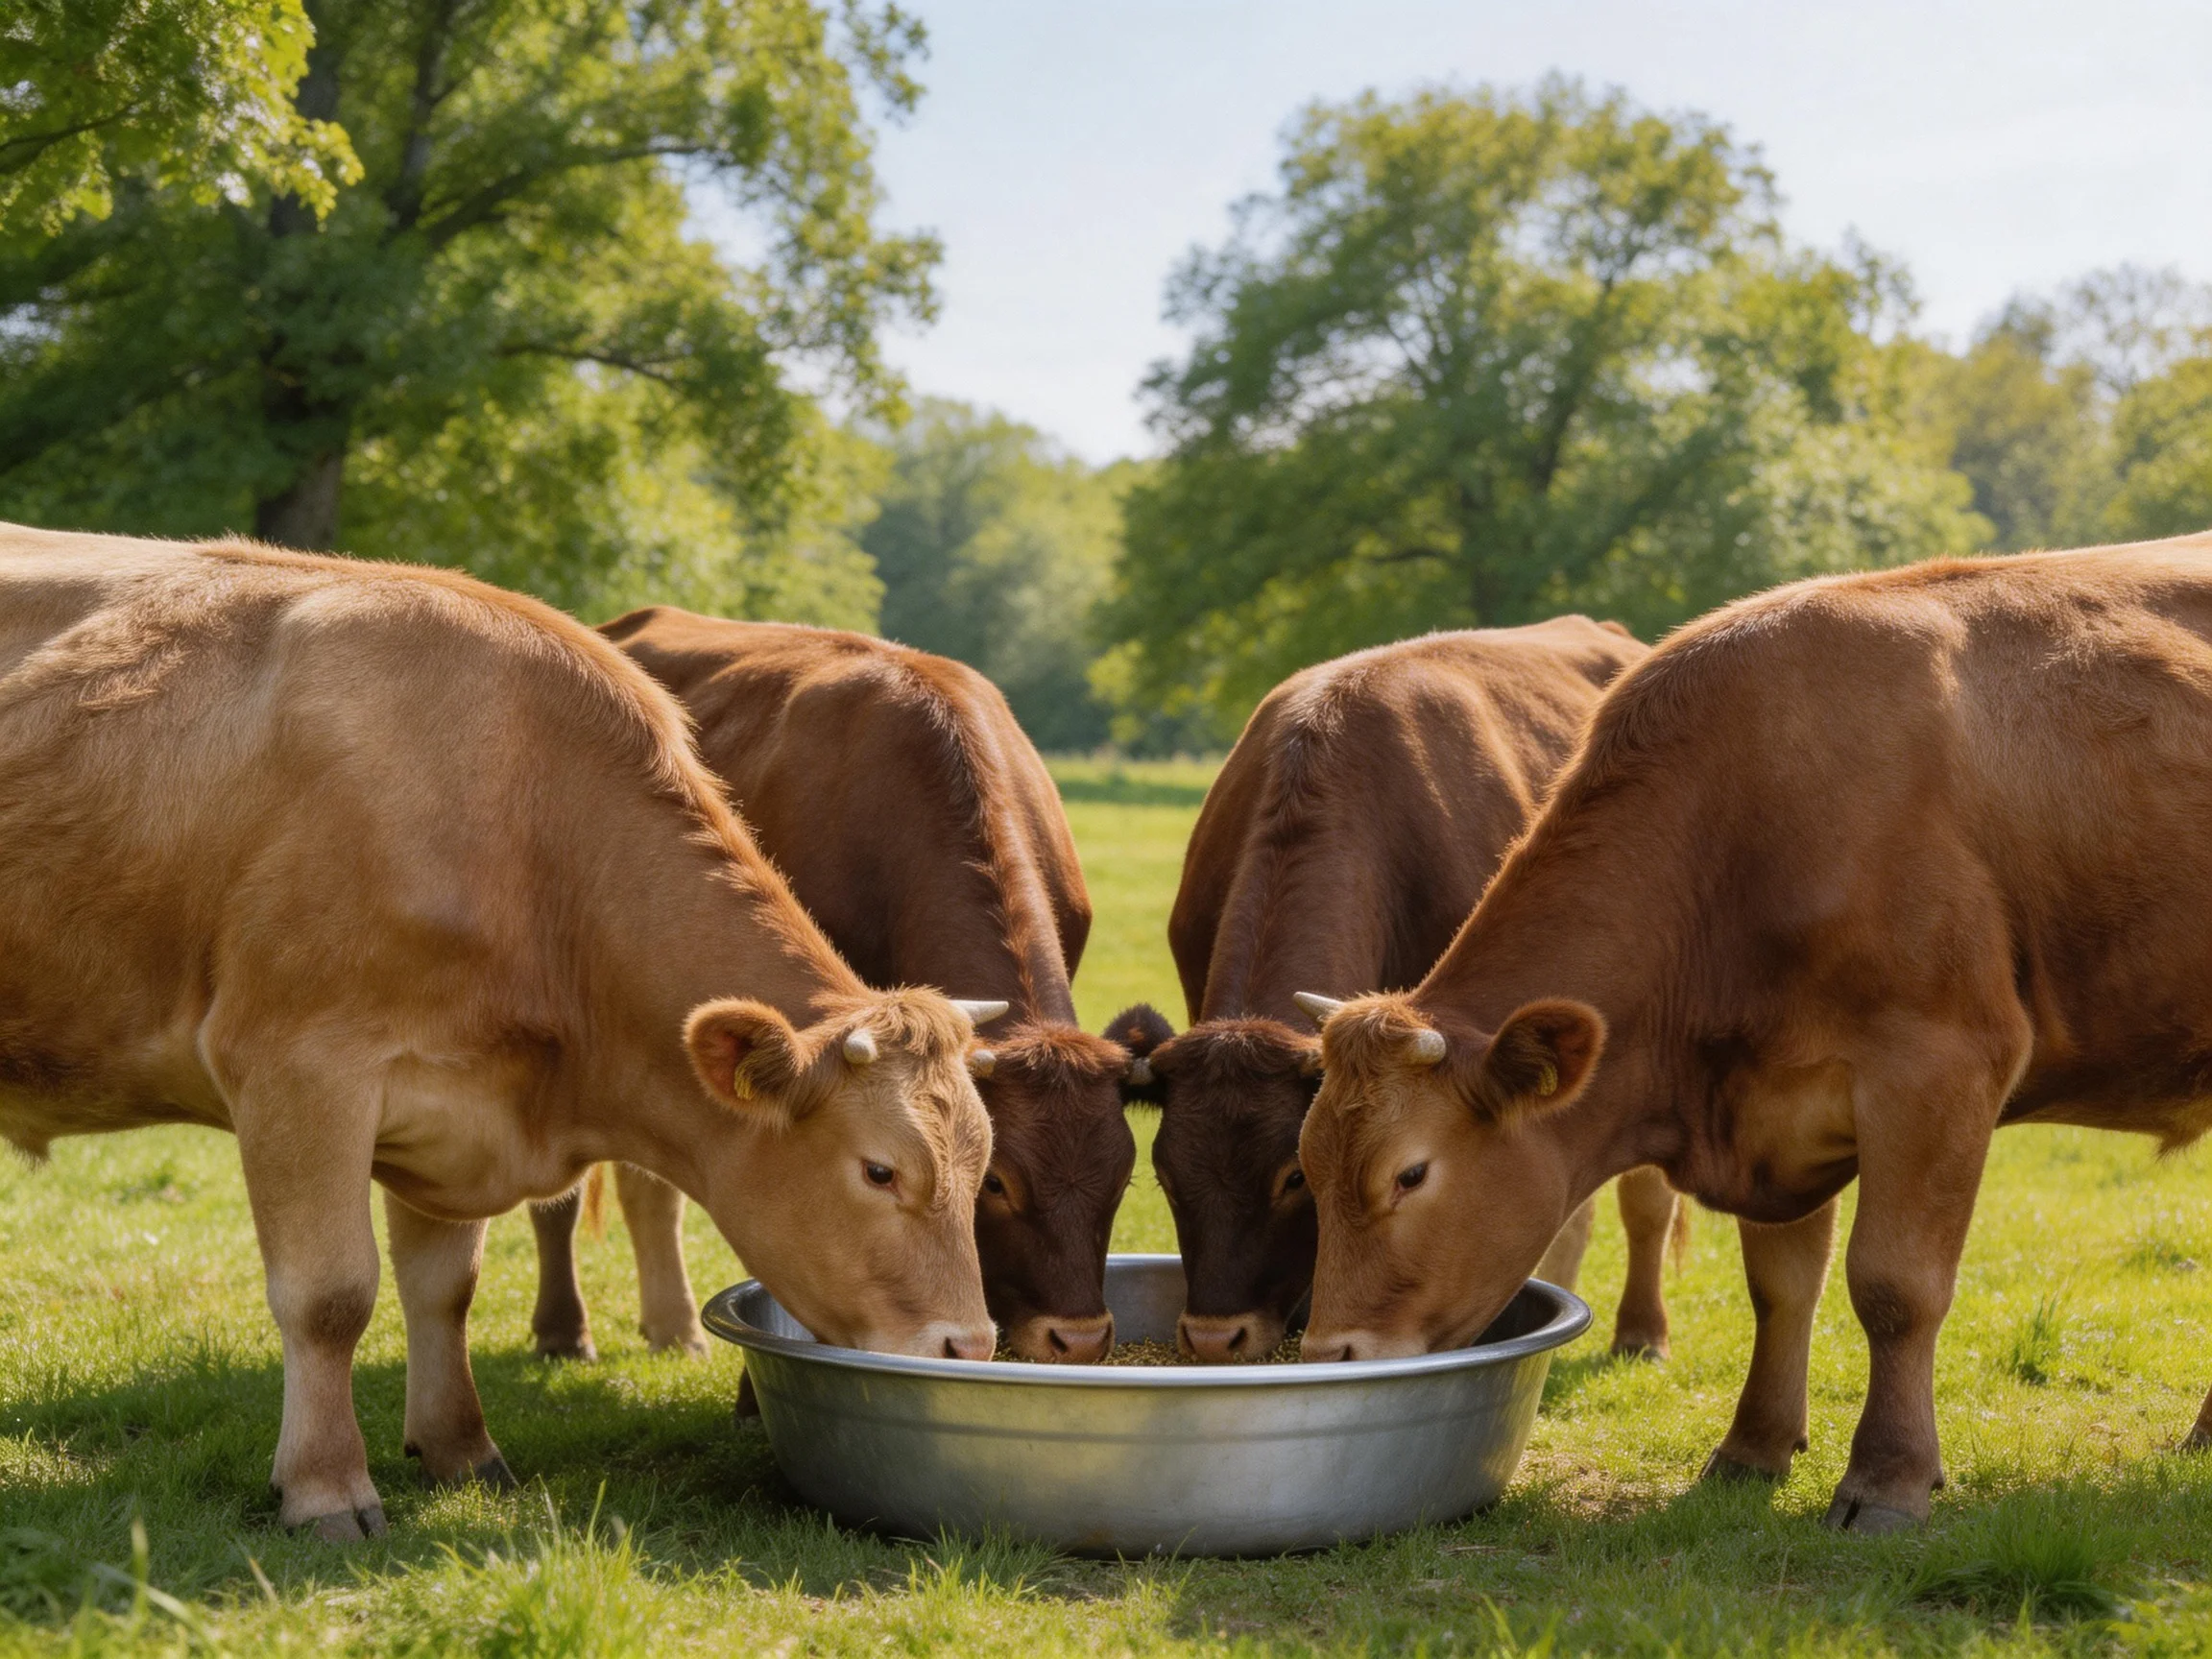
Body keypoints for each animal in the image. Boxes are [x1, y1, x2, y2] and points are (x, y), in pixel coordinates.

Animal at [0, 527, 1000, 1540]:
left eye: (984, 1171)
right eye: (879, 1171)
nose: (970, 1345)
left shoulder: (449, 1102)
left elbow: (445, 1288)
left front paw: (461, 1452)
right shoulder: (295, 1066)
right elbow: (329, 1298)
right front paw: (325, 1488)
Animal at [1293, 537, 2212, 1532]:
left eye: (1410, 1175)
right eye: (1306, 1169)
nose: (1328, 1358)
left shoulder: (1939, 1066)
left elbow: (1895, 1287)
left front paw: (1887, 1479)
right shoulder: (1781, 1099)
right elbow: (1781, 1288)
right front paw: (1751, 1449)